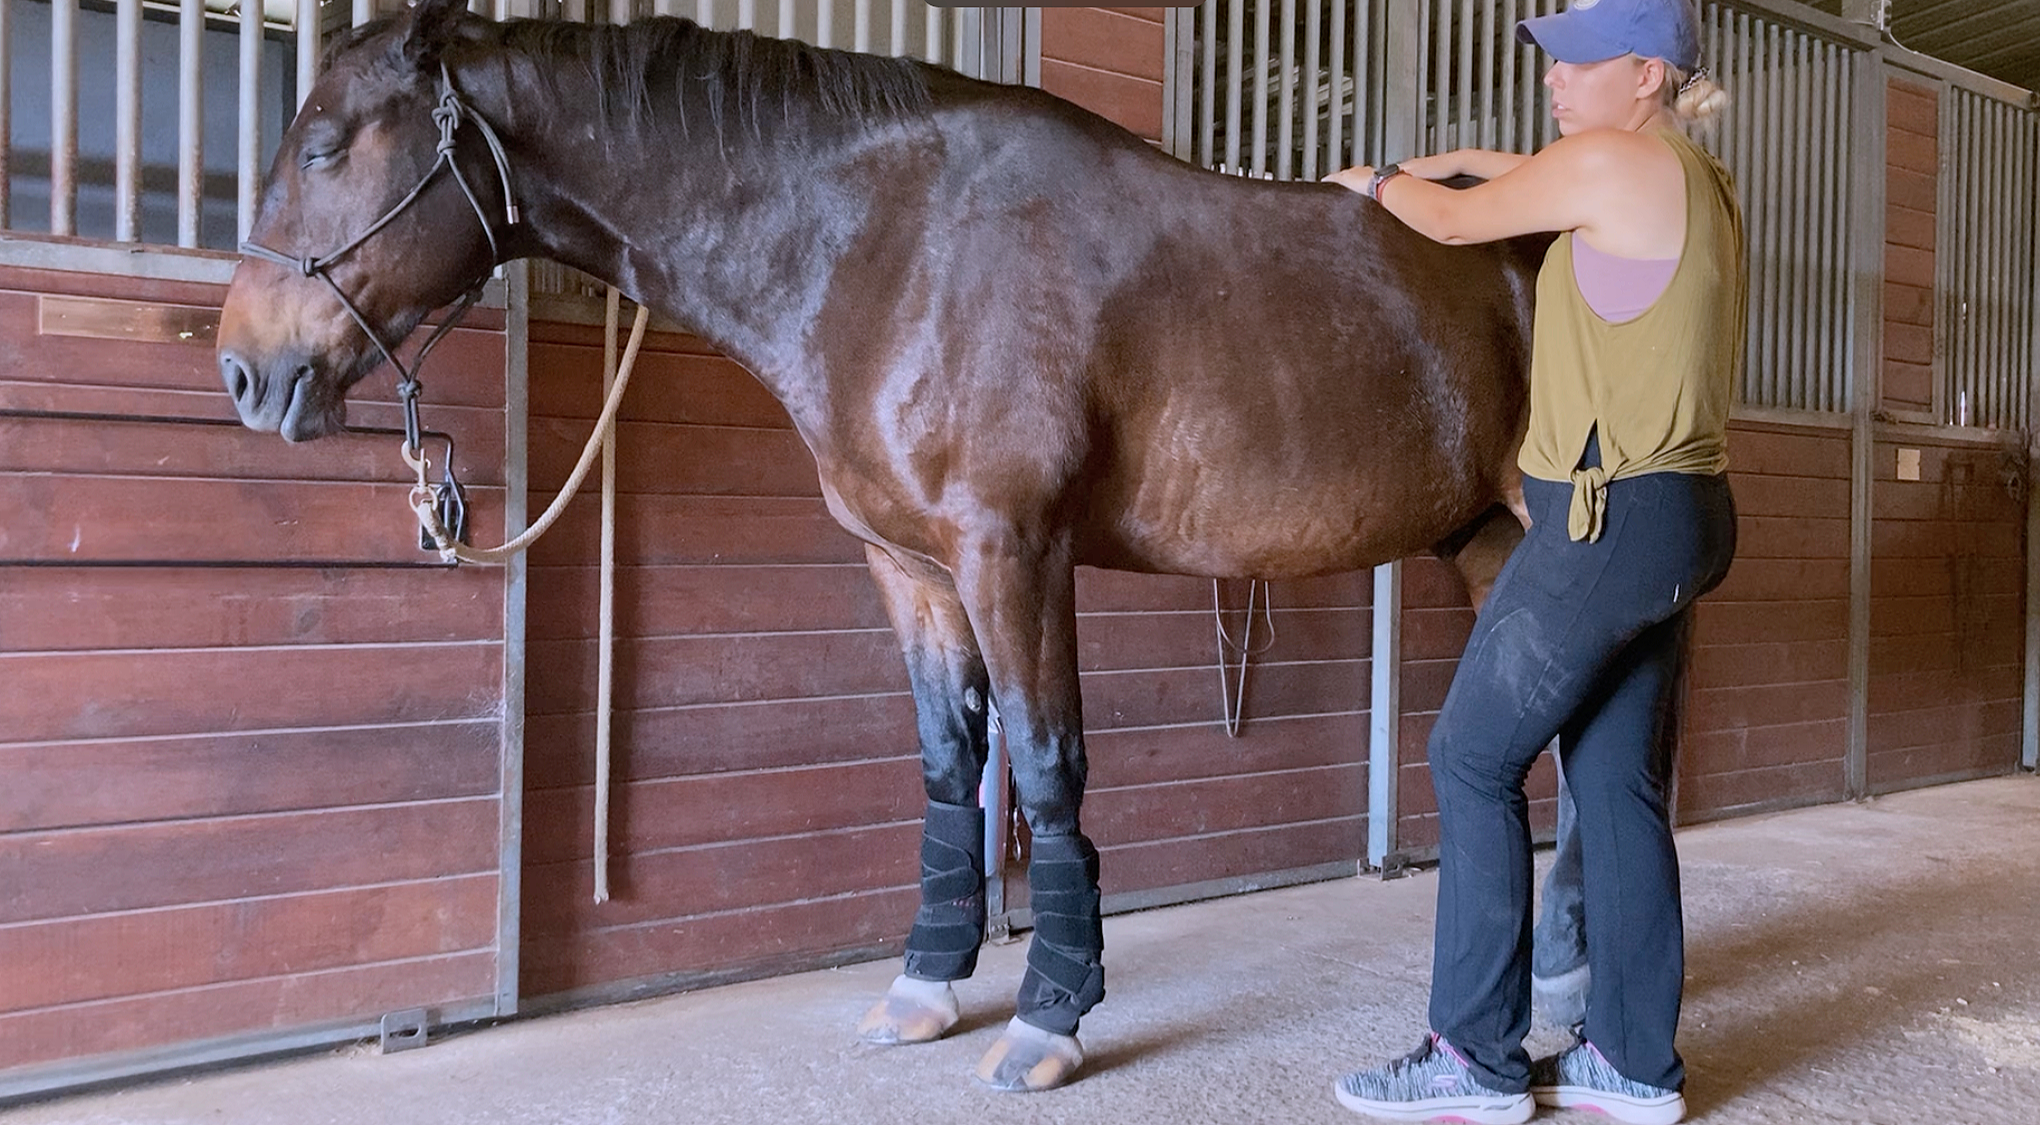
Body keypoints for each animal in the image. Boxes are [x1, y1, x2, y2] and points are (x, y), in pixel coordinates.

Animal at [216, 1, 1578, 1091]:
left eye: (327, 146)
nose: (244, 372)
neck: (888, 243)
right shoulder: (909, 566)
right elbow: (945, 760)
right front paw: (924, 989)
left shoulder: (1010, 552)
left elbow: (1044, 770)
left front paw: (1048, 1021)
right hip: (1485, 545)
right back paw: (1559, 979)